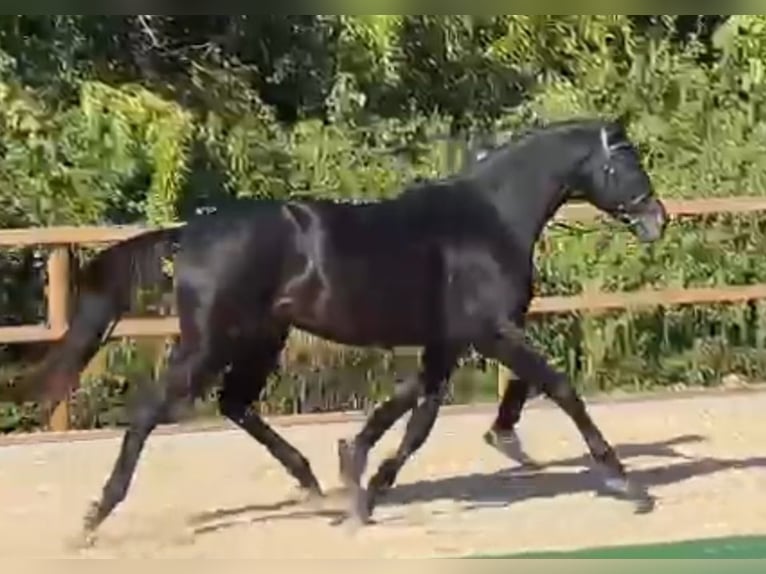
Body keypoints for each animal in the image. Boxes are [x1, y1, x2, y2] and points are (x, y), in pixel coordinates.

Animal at [21, 117, 668, 540]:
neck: (488, 221)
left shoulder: (449, 340)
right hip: (208, 343)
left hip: (262, 337)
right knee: (151, 414)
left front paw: (362, 482)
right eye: (625, 159)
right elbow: (558, 388)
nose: (656, 219)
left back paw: (312, 485)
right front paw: (630, 487)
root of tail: (190, 233)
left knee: (235, 404)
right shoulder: (489, 332)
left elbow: (416, 416)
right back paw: (95, 516)